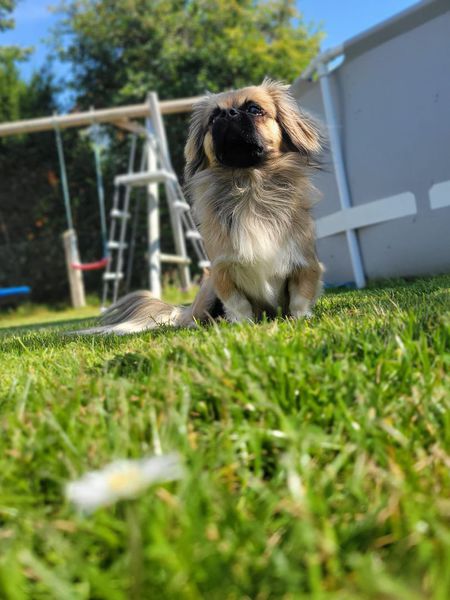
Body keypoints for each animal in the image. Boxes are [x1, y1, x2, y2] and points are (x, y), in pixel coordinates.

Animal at [88, 79, 323, 334]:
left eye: (254, 109)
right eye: (213, 117)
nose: (228, 114)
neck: (248, 187)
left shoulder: (305, 265)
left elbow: (299, 299)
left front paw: (300, 320)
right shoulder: (221, 273)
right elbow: (238, 304)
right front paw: (242, 325)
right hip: (206, 293)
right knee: (194, 317)